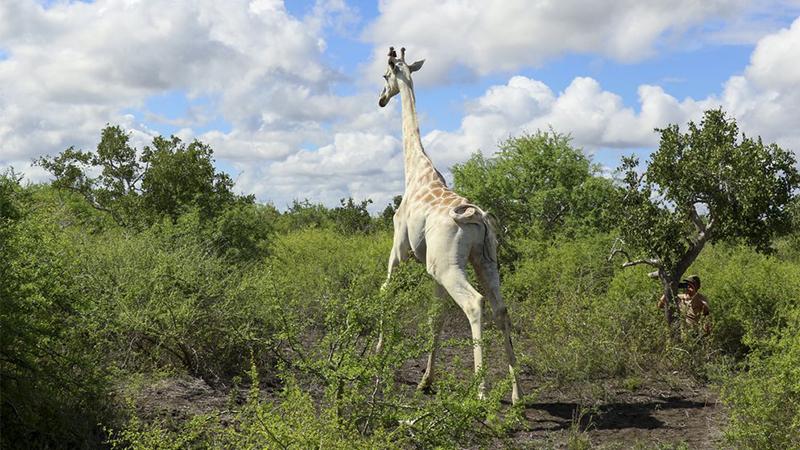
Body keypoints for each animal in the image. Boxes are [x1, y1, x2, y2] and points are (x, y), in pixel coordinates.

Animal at [378, 46, 520, 404]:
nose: (381, 99)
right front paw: (425, 381)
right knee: (501, 309)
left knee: (475, 304)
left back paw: (481, 393)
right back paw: (516, 395)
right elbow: (435, 317)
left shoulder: (399, 251)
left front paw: (378, 357)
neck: (415, 170)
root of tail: (478, 217)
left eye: (385, 76)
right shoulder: (431, 269)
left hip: (449, 265)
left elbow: (386, 291)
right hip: (483, 260)